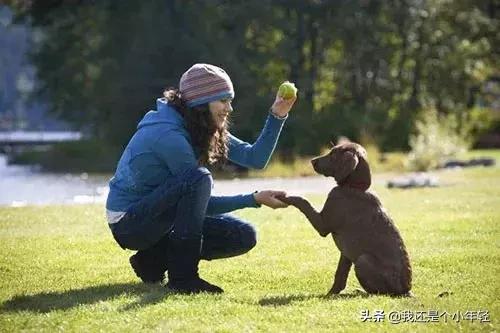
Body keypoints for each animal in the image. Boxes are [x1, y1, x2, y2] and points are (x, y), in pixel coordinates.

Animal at [280, 141, 412, 294]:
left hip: (363, 260)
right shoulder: (346, 253)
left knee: (380, 292)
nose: (312, 161)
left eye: (333, 154)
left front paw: (286, 197)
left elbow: (304, 202)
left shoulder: (323, 225)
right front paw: (332, 293)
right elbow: (340, 274)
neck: (354, 187)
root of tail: (406, 290)